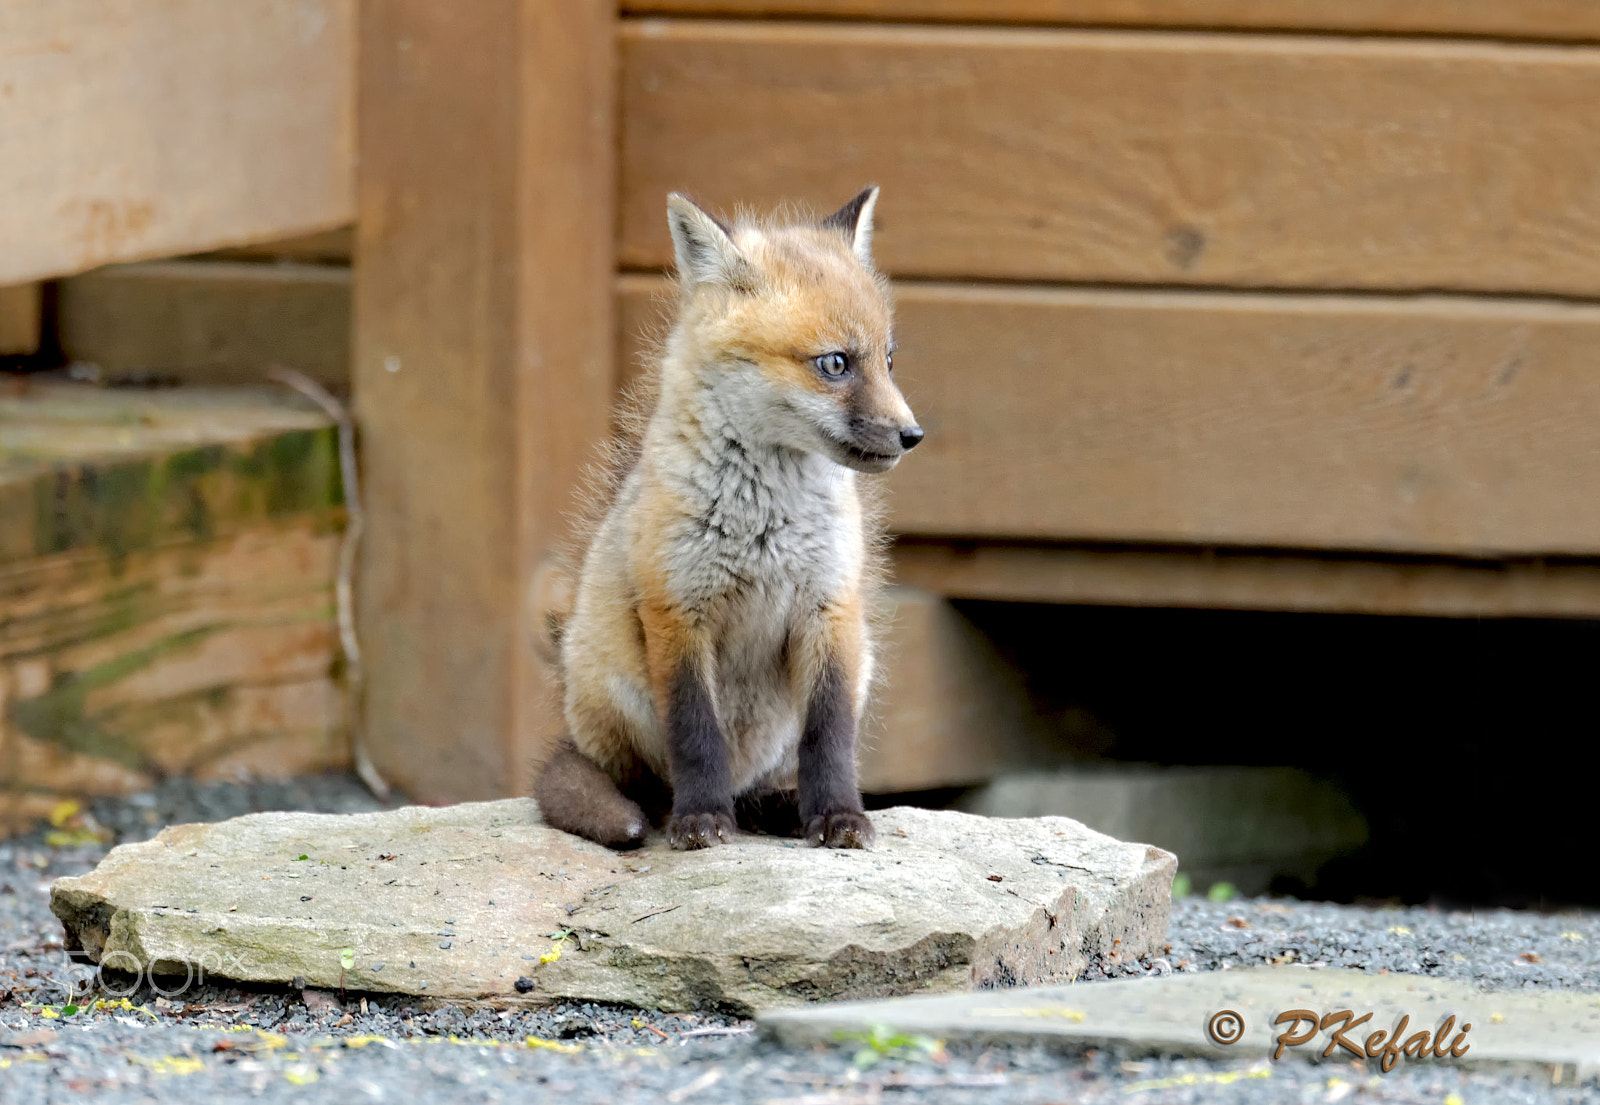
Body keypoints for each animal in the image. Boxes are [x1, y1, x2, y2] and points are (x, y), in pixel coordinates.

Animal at [533, 186, 923, 852]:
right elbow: (696, 734)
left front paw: (838, 816)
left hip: (856, 665)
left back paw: (776, 808)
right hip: (616, 689)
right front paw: (701, 820)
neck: (764, 523)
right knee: (645, 787)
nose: (911, 435)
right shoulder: (677, 610)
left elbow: (830, 738)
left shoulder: (831, 609)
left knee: (764, 782)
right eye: (836, 364)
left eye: (889, 359)